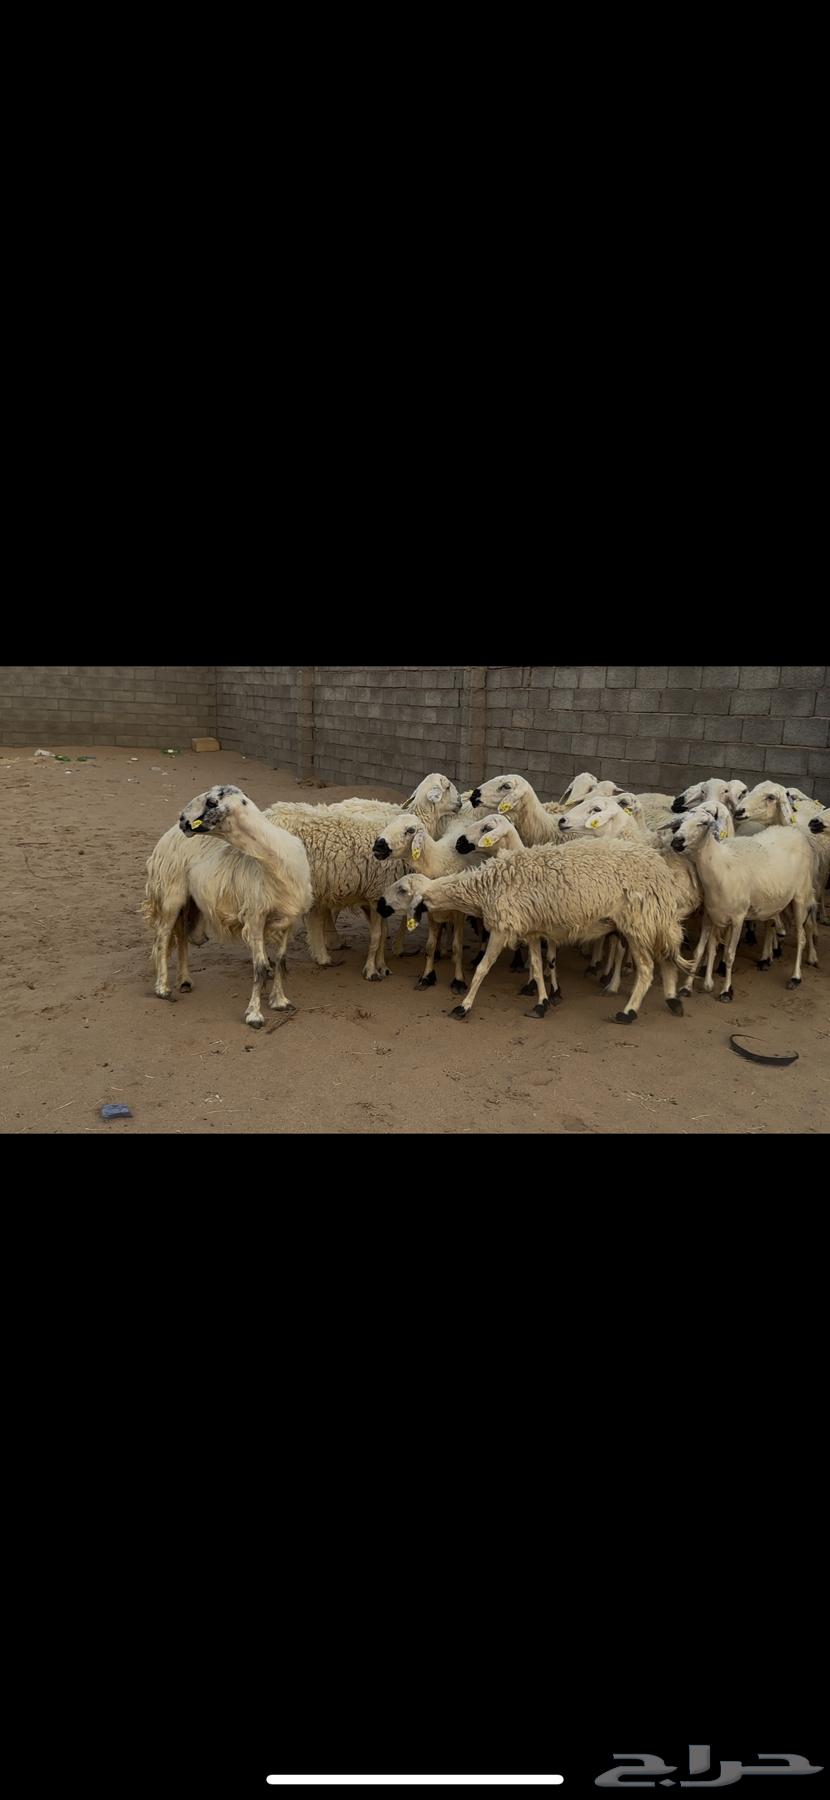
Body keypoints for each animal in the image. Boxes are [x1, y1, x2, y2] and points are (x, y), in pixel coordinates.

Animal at [143, 785, 313, 1028]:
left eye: (212, 802)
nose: (183, 820)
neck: (275, 861)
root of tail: (168, 834)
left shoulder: (288, 920)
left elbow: (281, 961)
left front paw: (280, 1002)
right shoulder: (255, 917)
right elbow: (261, 967)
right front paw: (254, 1015)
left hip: (189, 901)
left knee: (182, 936)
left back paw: (184, 981)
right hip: (170, 894)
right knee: (162, 938)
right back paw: (162, 989)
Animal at [383, 836, 689, 1025]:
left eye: (402, 890)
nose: (381, 904)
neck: (483, 889)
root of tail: (662, 871)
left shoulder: (504, 926)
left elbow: (482, 968)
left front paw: (463, 1006)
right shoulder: (530, 928)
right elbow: (539, 966)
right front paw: (541, 1003)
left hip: (639, 922)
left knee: (648, 969)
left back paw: (628, 1012)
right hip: (651, 922)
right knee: (666, 958)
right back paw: (673, 1000)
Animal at [669, 802, 818, 1000]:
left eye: (703, 823)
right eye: (681, 822)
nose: (676, 842)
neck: (720, 867)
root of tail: (794, 831)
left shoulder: (738, 919)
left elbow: (729, 954)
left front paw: (726, 990)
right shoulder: (710, 916)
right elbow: (701, 950)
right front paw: (688, 987)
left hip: (801, 896)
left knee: (801, 937)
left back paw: (795, 977)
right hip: (776, 899)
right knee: (773, 924)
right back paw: (767, 958)